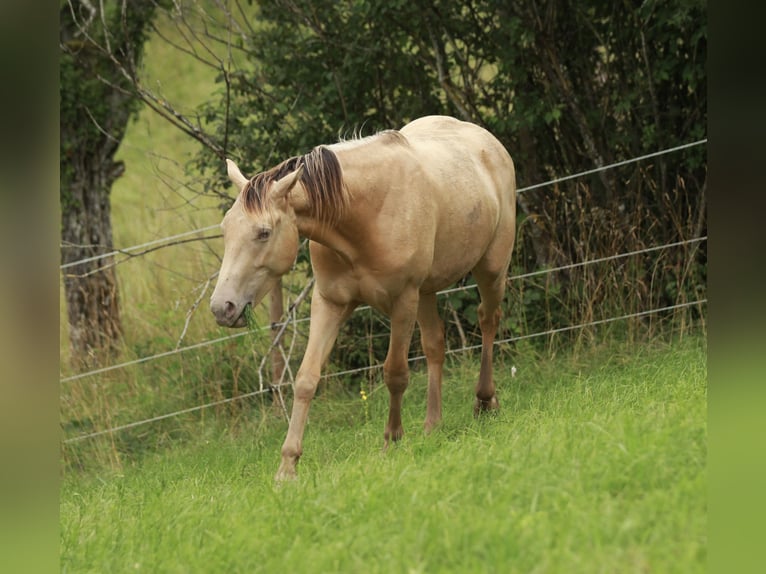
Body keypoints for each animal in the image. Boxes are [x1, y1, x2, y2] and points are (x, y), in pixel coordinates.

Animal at [213, 116, 520, 482]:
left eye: (264, 233)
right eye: (226, 229)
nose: (222, 308)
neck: (362, 214)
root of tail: (487, 140)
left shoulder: (403, 301)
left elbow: (395, 373)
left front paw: (392, 441)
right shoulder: (329, 303)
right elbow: (306, 379)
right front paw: (287, 466)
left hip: (490, 269)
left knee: (488, 320)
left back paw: (485, 402)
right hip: (427, 292)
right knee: (435, 344)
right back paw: (433, 425)